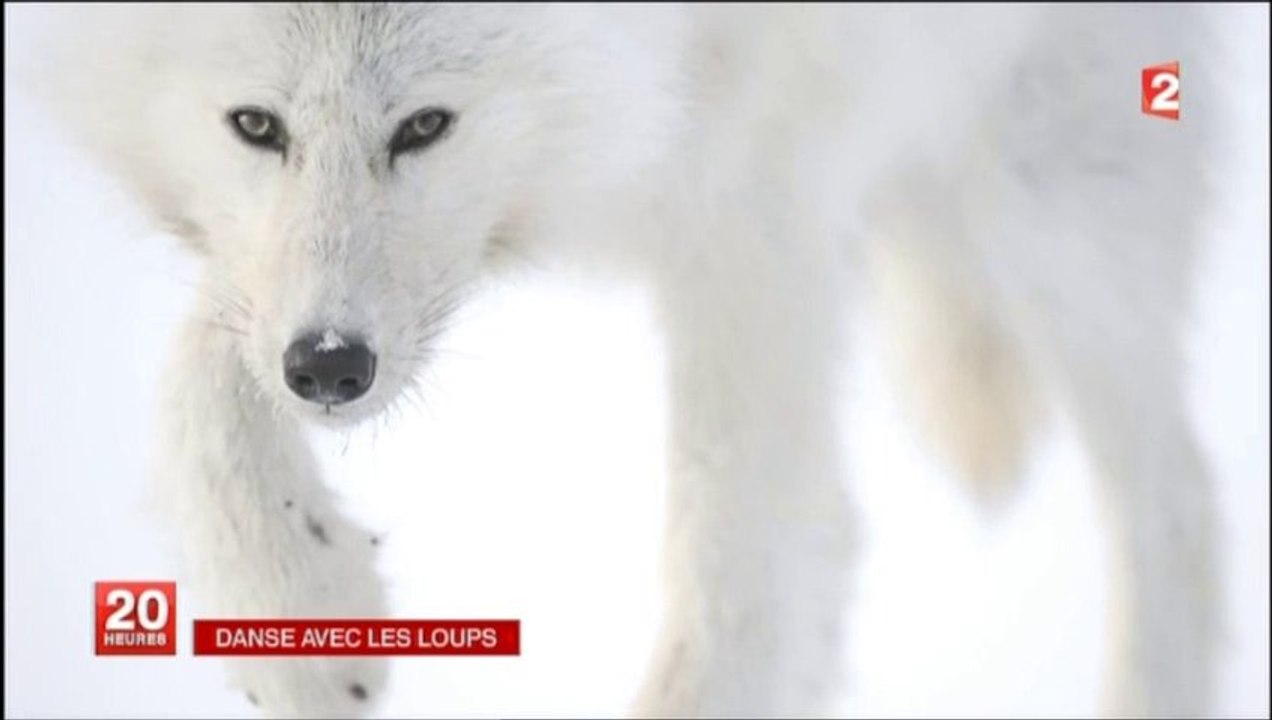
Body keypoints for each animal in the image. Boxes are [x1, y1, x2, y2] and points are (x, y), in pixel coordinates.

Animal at [30, 3, 1226, 717]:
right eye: (255, 125)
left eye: (424, 125)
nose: (329, 372)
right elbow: (208, 367)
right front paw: (300, 621)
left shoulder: (759, 197)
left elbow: (744, 561)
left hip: (1039, 223)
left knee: (1176, 502)